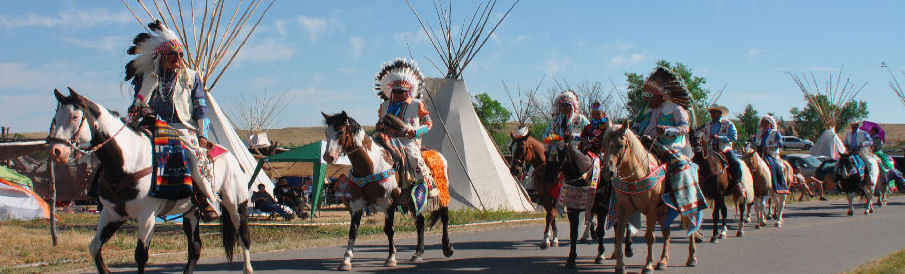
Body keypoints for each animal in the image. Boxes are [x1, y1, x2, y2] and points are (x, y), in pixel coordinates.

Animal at [50, 88, 254, 274]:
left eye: (75, 116)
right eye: (55, 118)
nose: (56, 151)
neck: (129, 160)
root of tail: (232, 157)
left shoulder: (147, 216)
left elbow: (141, 256)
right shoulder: (112, 214)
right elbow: (94, 248)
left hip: (236, 204)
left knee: (243, 235)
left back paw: (248, 268)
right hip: (191, 212)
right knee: (195, 247)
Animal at [324, 110, 456, 270]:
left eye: (341, 131)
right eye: (326, 132)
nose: (328, 156)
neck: (372, 165)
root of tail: (439, 156)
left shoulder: (389, 203)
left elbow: (389, 229)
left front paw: (391, 258)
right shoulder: (357, 204)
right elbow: (353, 230)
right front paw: (346, 260)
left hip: (442, 194)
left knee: (444, 217)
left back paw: (447, 248)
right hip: (413, 200)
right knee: (420, 222)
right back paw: (418, 253)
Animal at [600, 124, 700, 274]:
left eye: (620, 145)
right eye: (604, 144)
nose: (608, 172)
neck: (637, 175)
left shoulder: (651, 210)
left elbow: (649, 237)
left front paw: (647, 266)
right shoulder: (622, 209)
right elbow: (619, 235)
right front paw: (620, 266)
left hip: (684, 205)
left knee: (689, 227)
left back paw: (692, 258)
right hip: (663, 212)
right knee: (667, 233)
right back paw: (663, 261)